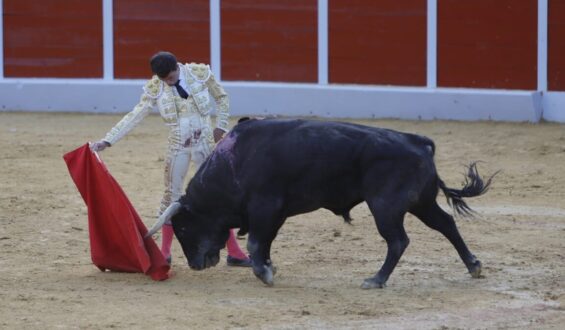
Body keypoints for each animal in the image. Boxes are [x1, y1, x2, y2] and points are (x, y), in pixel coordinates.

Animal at [169, 119, 494, 288]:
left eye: (183, 229)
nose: (195, 264)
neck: (234, 164)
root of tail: (417, 142)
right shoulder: (275, 213)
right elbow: (266, 243)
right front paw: (269, 267)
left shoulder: (264, 206)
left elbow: (256, 243)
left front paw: (264, 274)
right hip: (421, 203)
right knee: (446, 224)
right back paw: (474, 266)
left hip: (385, 207)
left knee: (398, 240)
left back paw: (376, 279)